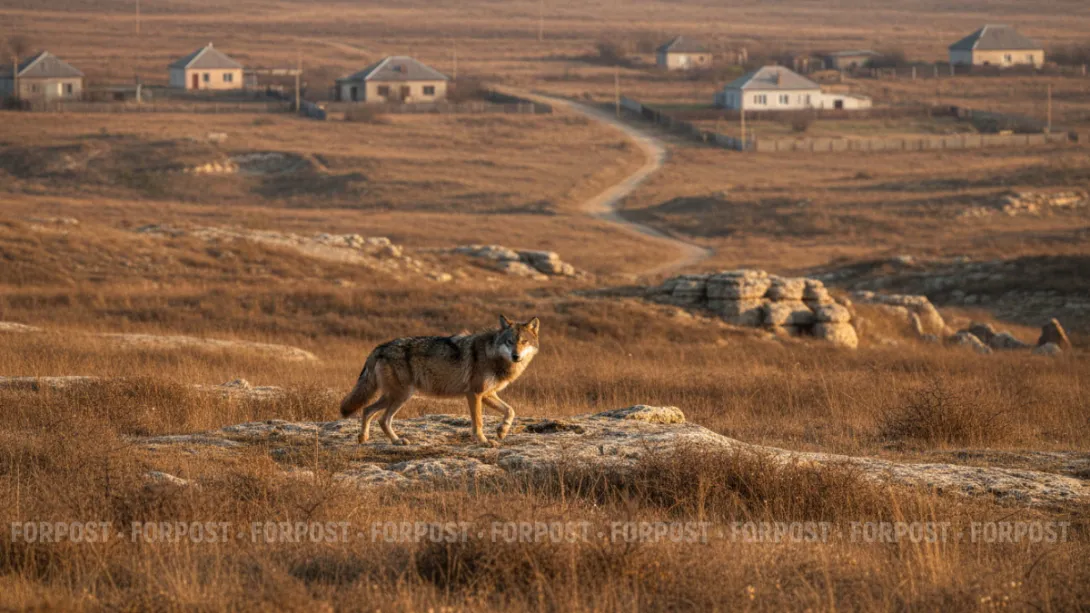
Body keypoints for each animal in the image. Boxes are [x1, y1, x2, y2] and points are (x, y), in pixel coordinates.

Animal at [339, 315, 540, 447]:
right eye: (509, 342)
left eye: (524, 342)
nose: (515, 356)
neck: (492, 355)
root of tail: (379, 348)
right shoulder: (474, 394)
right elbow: (478, 423)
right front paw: (484, 441)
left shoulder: (487, 394)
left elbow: (510, 410)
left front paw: (502, 431)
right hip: (401, 396)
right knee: (380, 417)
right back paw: (394, 440)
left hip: (395, 396)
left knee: (368, 411)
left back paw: (368, 438)